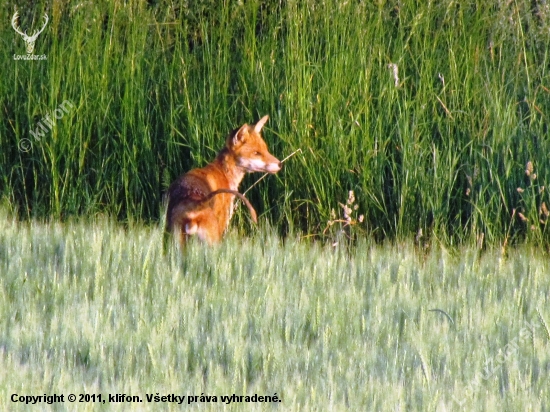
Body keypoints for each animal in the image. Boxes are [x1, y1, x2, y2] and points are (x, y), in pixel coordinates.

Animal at [166, 114, 282, 246]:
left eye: (265, 150)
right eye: (256, 153)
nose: (280, 164)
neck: (224, 173)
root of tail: (193, 208)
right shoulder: (223, 223)